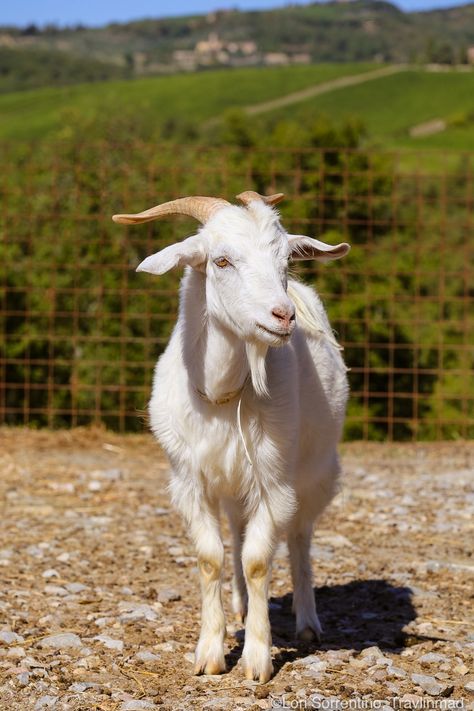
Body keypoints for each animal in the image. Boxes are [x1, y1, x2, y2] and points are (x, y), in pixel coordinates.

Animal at [111, 192, 348, 680]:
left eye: (285, 262)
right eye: (221, 261)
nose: (283, 315)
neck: (222, 396)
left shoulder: (273, 481)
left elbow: (259, 560)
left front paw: (257, 659)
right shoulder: (190, 479)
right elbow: (211, 557)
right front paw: (210, 653)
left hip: (315, 471)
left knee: (299, 537)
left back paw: (307, 622)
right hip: (235, 482)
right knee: (238, 532)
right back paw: (240, 605)